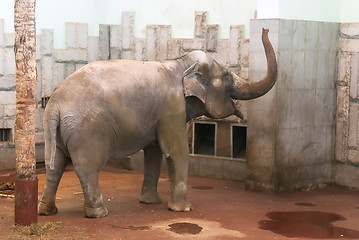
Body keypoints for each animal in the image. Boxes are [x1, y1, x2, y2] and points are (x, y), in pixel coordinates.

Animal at [38, 27, 278, 218]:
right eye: (227, 75)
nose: (265, 28)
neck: (179, 62)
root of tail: (55, 103)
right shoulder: (172, 109)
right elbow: (176, 151)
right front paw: (184, 209)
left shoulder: (158, 116)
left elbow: (153, 152)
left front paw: (149, 202)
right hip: (87, 130)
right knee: (86, 167)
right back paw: (98, 213)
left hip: (58, 132)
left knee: (55, 165)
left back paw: (47, 211)